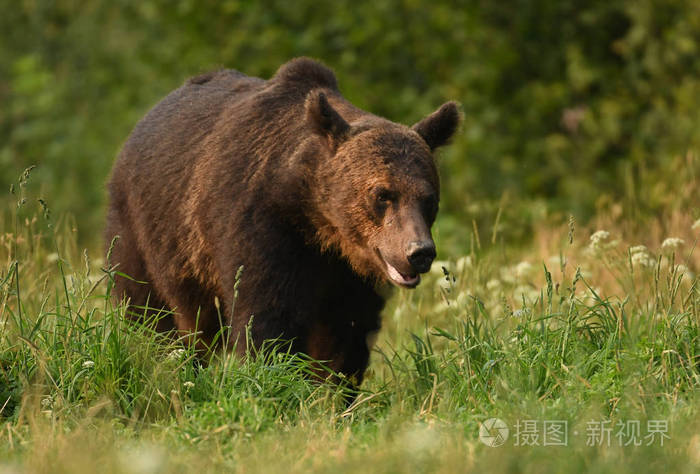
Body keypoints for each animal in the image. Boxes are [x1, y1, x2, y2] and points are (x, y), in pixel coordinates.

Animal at [105, 57, 459, 386]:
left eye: (429, 198)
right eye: (383, 194)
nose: (419, 252)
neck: (318, 221)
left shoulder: (346, 274)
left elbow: (347, 334)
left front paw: (332, 392)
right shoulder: (260, 226)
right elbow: (267, 318)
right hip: (144, 230)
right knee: (150, 314)